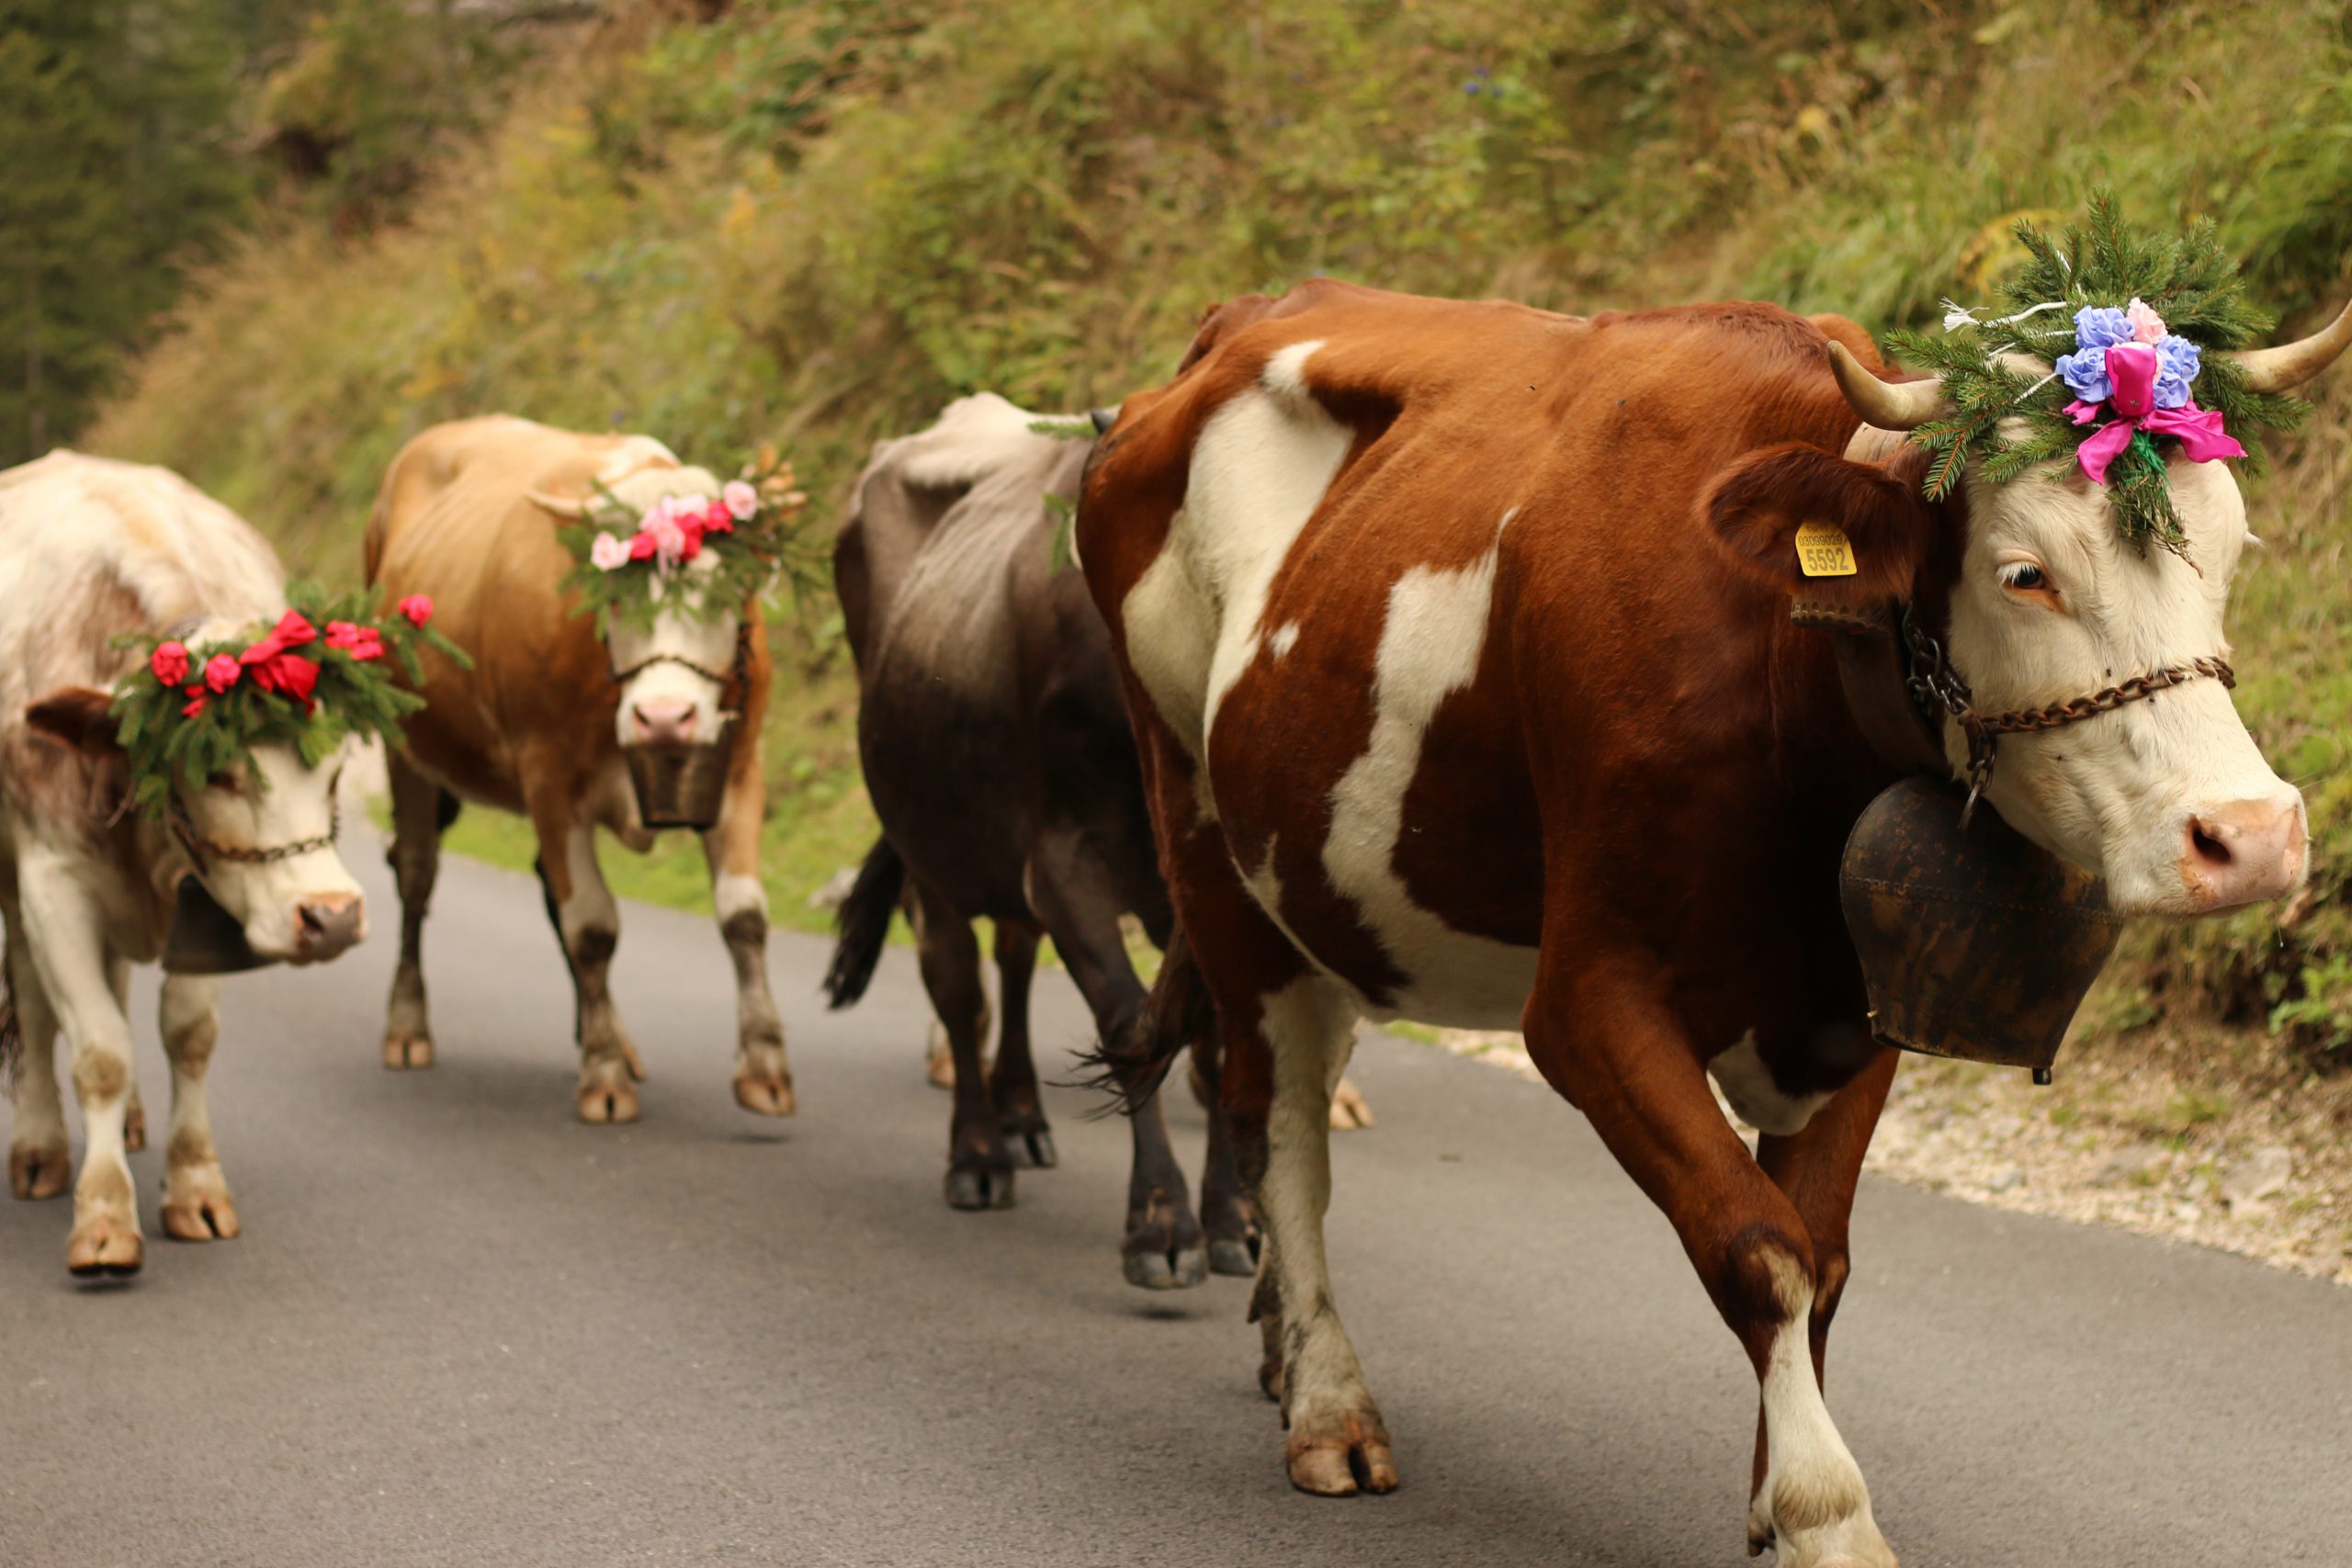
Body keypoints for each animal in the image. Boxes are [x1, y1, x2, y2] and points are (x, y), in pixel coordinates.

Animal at [2, 451, 368, 1279]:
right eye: (221, 772)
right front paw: (105, 1214)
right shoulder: (52, 881)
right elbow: (99, 1048)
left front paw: (194, 1183)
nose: (332, 917)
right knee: (38, 1011)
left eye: (334, 774)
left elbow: (188, 1033)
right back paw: (40, 1146)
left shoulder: (209, 898)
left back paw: (132, 1124)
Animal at [362, 415, 795, 1128]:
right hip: (406, 746)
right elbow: (591, 925)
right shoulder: (548, 775)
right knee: (418, 875)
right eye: (612, 594)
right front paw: (604, 1075)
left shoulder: (740, 766)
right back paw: (406, 1025)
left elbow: (744, 916)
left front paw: (763, 1067)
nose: (665, 717)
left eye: (726, 592)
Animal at [1077, 285, 2342, 1568]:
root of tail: (1253, 311)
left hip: (1318, 891)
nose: (2251, 836)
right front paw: (1826, 1515)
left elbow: (1819, 1254)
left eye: (2229, 549)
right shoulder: (1587, 1003)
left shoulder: (1852, 1005)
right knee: (1277, 1122)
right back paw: (1329, 1404)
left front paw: (1773, 1497)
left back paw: (1280, 1355)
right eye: (2024, 573)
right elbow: (1756, 1247)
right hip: (1207, 850)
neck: (1782, 658)